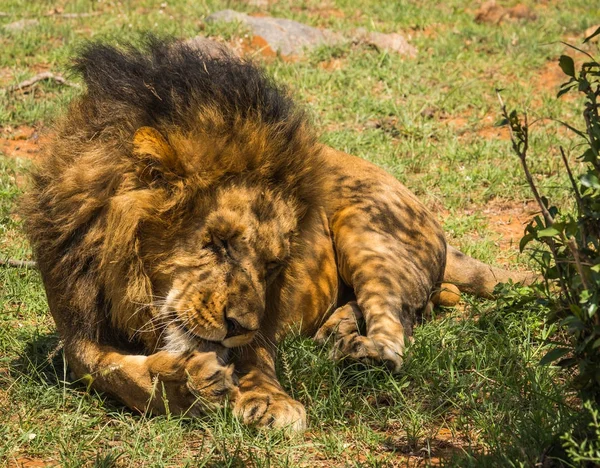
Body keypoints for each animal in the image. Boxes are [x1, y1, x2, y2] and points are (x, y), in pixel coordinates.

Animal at [22, 37, 536, 432]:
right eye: (219, 241)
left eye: (272, 264)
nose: (237, 326)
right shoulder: (76, 331)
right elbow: (111, 372)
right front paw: (180, 384)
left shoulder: (262, 322)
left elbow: (257, 359)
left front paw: (267, 400)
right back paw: (337, 335)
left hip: (368, 227)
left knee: (397, 320)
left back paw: (366, 353)